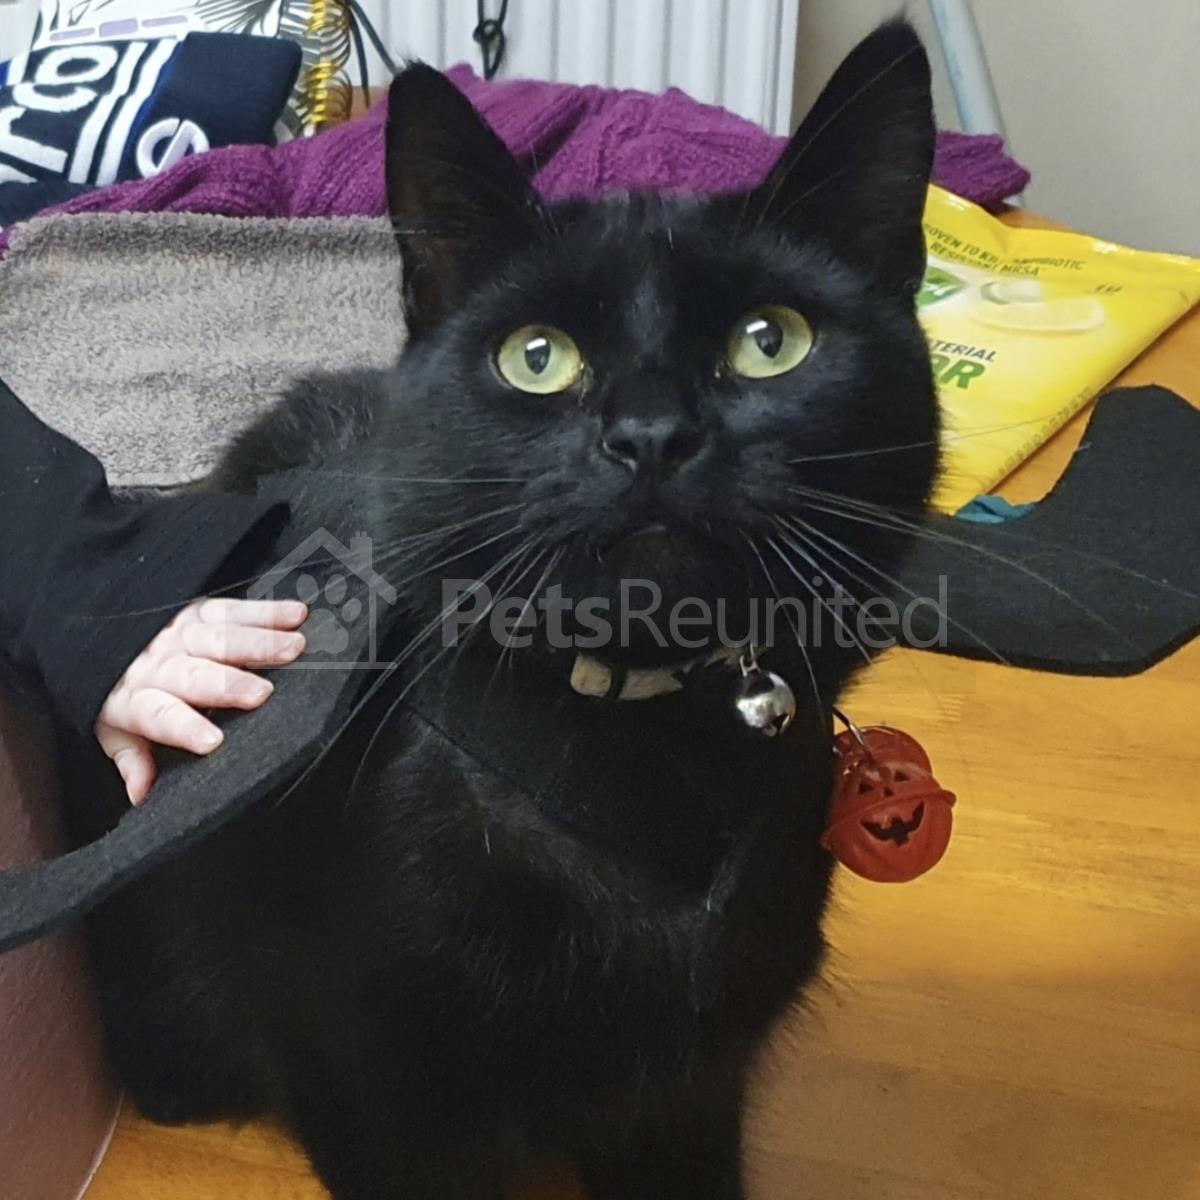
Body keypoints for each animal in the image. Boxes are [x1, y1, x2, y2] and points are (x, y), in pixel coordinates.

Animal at [76, 21, 939, 1200]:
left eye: (773, 341)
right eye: (537, 358)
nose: (650, 434)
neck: (638, 742)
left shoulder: (690, 1090)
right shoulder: (373, 1093)